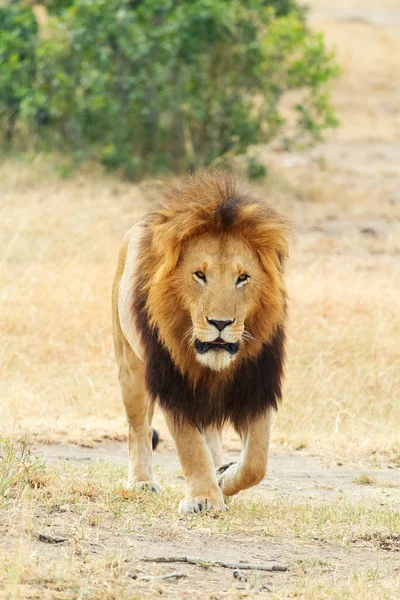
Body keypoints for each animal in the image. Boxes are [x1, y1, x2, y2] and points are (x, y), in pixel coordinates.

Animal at [111, 170, 290, 516]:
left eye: (243, 278)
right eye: (199, 275)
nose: (220, 324)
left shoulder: (256, 384)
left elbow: (256, 462)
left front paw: (222, 479)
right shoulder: (174, 385)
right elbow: (189, 446)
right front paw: (204, 498)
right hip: (131, 369)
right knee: (138, 428)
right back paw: (142, 481)